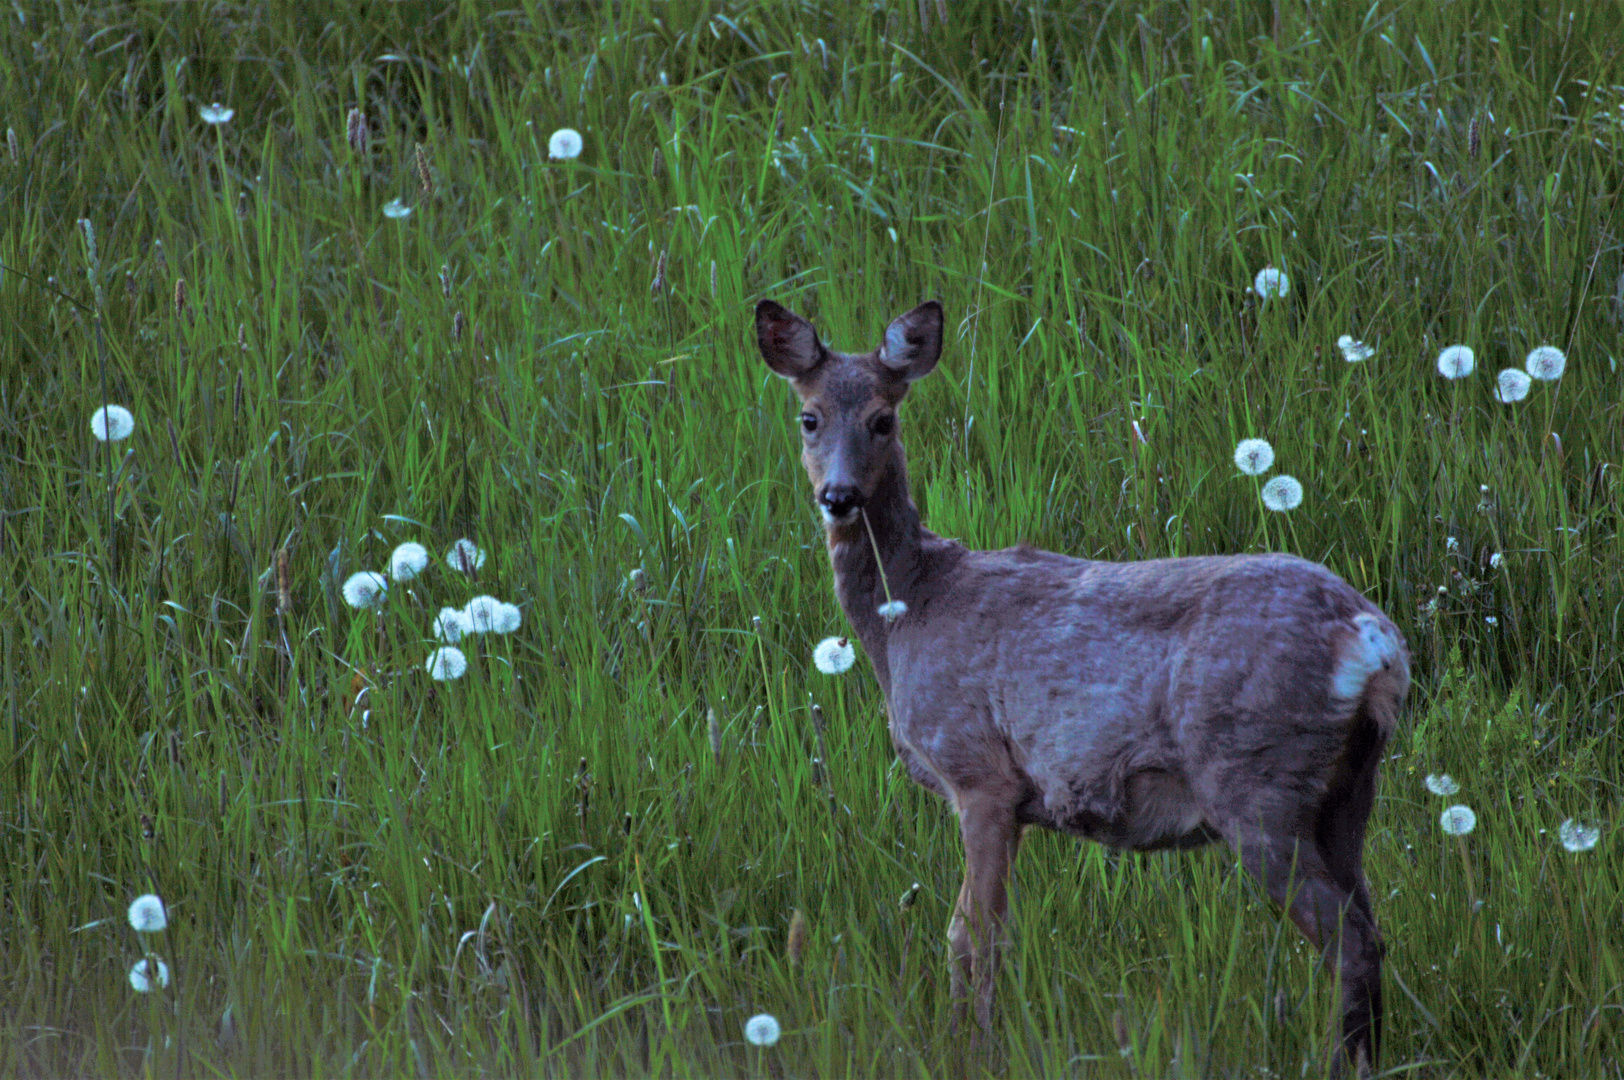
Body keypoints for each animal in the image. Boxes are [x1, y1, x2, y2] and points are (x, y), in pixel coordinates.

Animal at [760, 292, 1409, 1071]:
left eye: (883, 419)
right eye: (810, 416)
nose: (839, 495)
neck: (910, 611)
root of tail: (1373, 642)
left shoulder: (980, 773)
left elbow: (971, 936)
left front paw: (970, 1051)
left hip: (1257, 780)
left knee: (1349, 942)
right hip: (1348, 789)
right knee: (1372, 928)